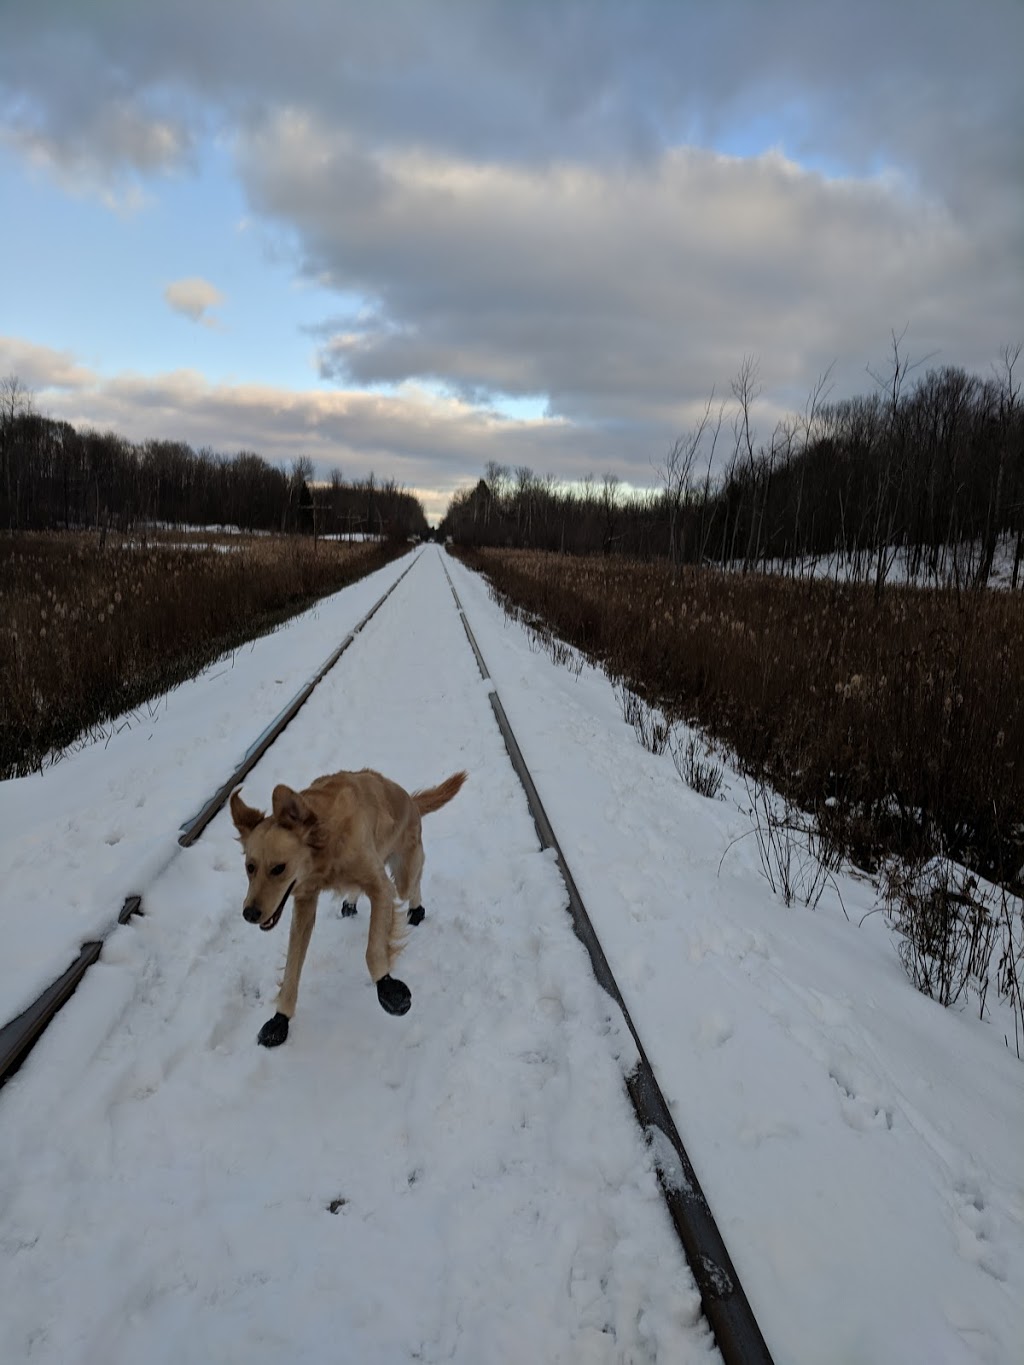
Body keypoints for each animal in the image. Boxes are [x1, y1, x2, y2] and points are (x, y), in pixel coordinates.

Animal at [230, 769, 466, 1042]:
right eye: (250, 867)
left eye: (279, 868)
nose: (249, 913)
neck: (326, 841)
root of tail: (411, 800)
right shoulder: (305, 902)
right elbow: (292, 967)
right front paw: (280, 1019)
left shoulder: (381, 887)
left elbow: (373, 948)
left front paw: (388, 987)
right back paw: (351, 902)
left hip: (403, 873)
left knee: (413, 883)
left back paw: (416, 910)